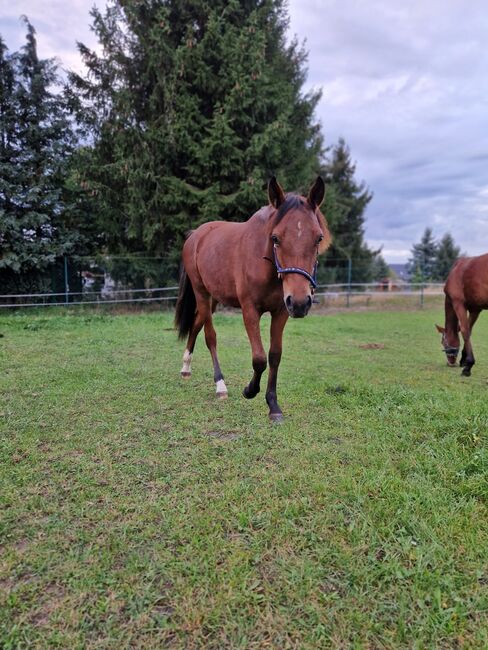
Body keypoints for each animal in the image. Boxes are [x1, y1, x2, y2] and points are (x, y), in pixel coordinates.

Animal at [175, 176, 332, 420]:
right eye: (275, 237)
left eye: (318, 238)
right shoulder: (250, 310)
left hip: (213, 299)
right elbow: (259, 358)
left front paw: (273, 405)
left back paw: (186, 368)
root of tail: (196, 235)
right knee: (210, 336)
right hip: (202, 293)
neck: (265, 264)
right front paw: (250, 390)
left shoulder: (281, 311)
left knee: (196, 324)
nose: (300, 302)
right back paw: (220, 384)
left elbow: (274, 355)